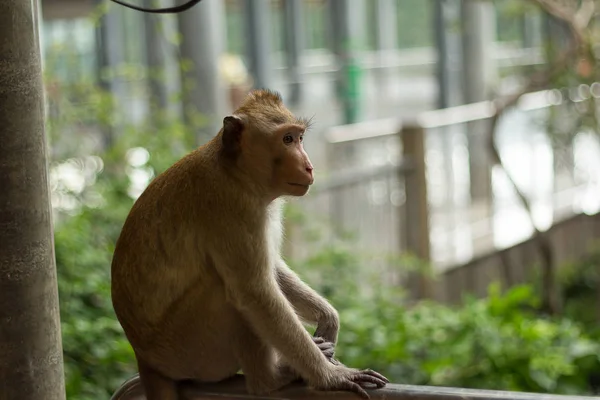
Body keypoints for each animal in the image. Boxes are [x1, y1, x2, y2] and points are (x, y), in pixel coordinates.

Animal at [110, 89, 392, 398]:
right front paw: (329, 376)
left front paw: (329, 319)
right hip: (190, 352)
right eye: (287, 139)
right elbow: (256, 291)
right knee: (230, 293)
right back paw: (271, 379)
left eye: (299, 137)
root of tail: (145, 358)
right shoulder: (231, 208)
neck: (236, 172)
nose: (309, 166)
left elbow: (271, 268)